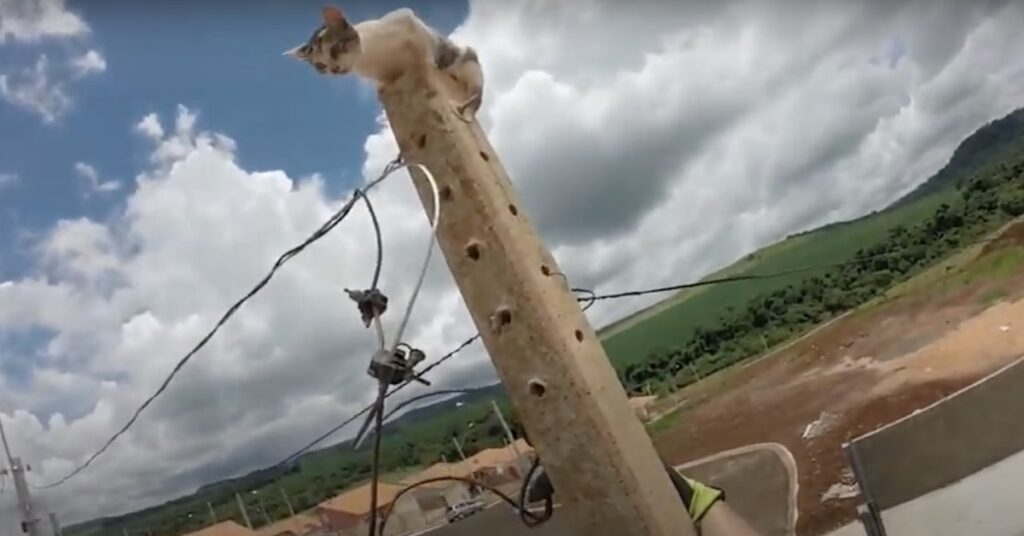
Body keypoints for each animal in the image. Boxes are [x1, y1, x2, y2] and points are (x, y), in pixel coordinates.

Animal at [284, 6, 483, 119]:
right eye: (320, 66)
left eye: (336, 47)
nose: (334, 69)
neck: (372, 57)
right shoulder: (382, 73)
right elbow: (386, 80)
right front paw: (382, 88)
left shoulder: (409, 19)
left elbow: (423, 53)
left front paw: (424, 65)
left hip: (469, 63)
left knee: (476, 96)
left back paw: (467, 108)